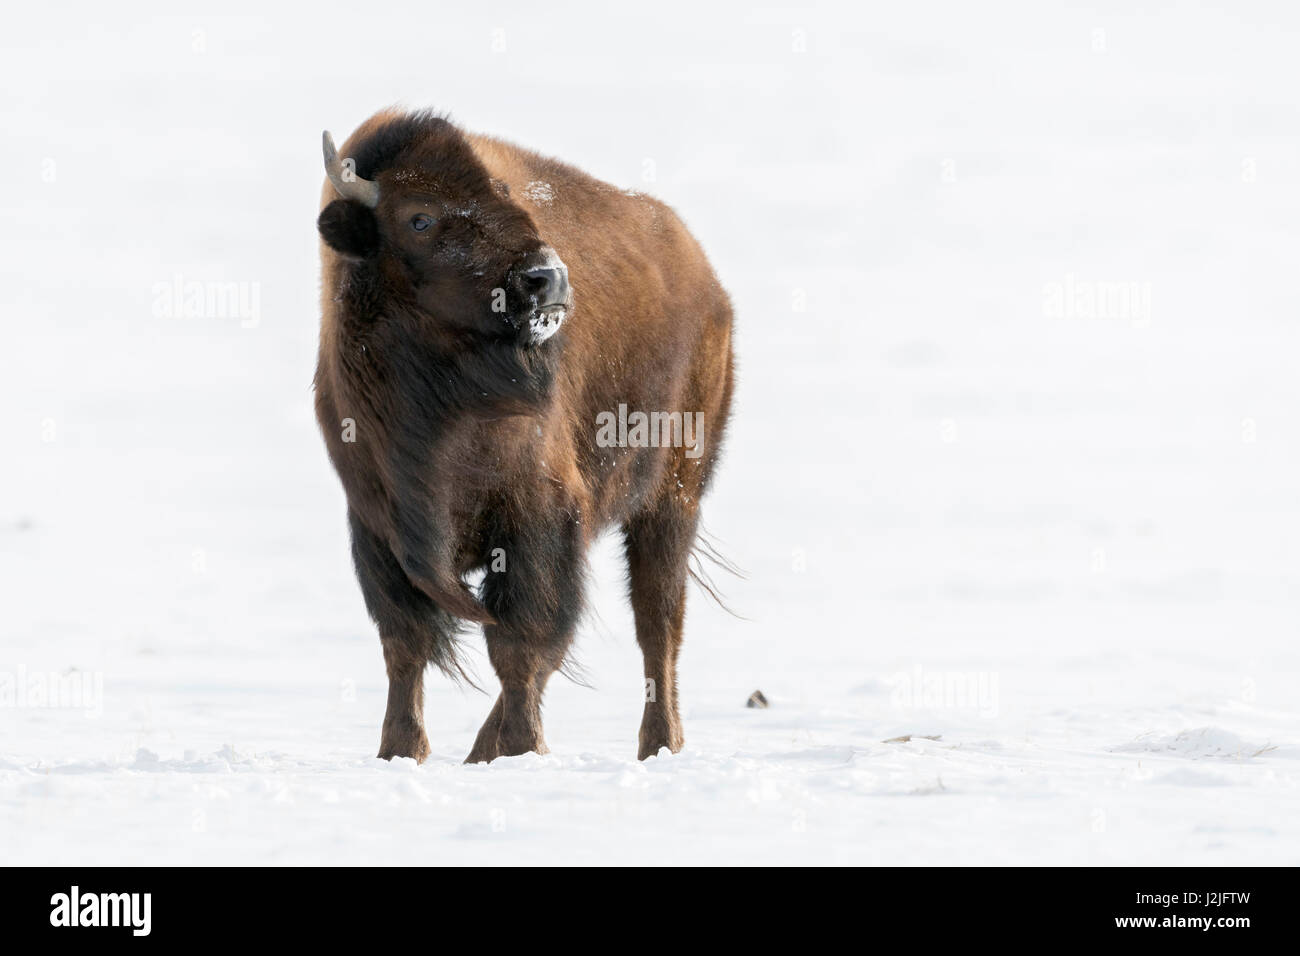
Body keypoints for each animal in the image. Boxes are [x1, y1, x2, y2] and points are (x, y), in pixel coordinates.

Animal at [314, 110, 738, 764]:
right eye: (419, 217)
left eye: (505, 195)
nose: (546, 279)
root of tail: (705, 279)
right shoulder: (378, 527)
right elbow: (405, 645)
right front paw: (399, 751)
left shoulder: (536, 517)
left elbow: (521, 644)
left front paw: (521, 749)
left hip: (672, 499)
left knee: (657, 624)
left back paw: (658, 745)